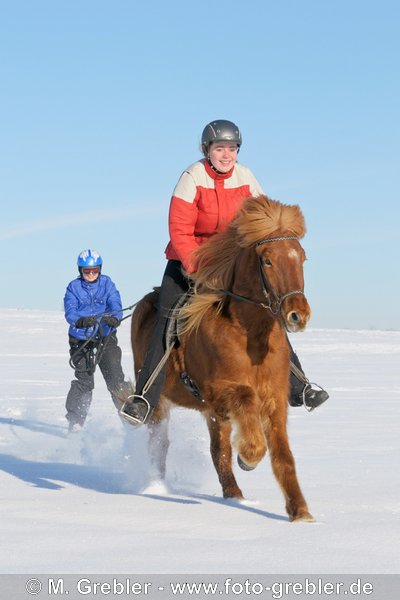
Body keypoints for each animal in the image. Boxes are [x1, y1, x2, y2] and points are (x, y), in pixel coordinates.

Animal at [128, 196, 316, 520]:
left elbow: (283, 456)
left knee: (219, 453)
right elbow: (247, 406)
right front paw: (249, 456)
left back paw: (235, 496)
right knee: (159, 444)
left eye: (301, 257)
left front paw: (300, 512)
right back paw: (157, 488)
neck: (250, 336)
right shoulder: (218, 391)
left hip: (212, 414)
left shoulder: (274, 398)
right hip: (159, 402)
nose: (297, 315)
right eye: (267, 260)